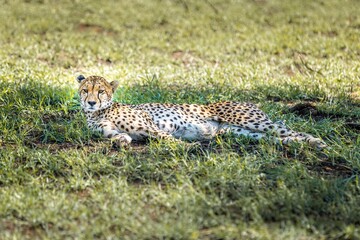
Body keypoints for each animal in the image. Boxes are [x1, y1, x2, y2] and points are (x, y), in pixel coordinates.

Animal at [77, 76, 328, 149]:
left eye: (101, 91)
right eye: (85, 90)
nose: (91, 102)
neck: (100, 112)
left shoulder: (150, 125)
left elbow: (166, 138)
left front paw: (189, 147)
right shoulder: (109, 130)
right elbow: (116, 136)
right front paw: (122, 141)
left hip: (251, 121)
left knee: (289, 130)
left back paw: (317, 142)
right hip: (239, 132)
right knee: (277, 138)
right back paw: (298, 145)